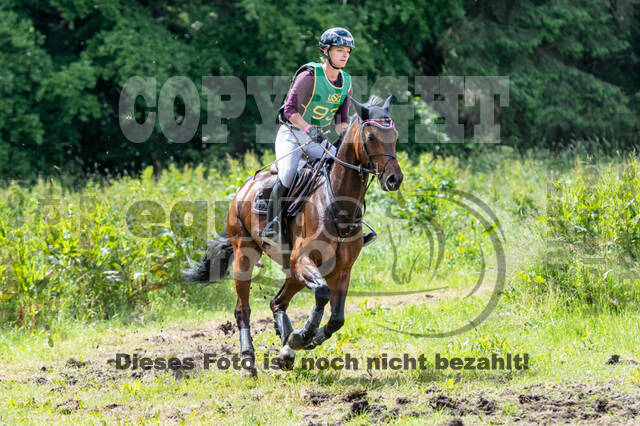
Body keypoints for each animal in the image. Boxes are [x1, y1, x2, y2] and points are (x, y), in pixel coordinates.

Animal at [182, 95, 403, 375]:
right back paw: (249, 359)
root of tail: (244, 188)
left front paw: (301, 340)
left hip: (293, 272)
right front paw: (301, 336)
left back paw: (285, 347)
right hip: (247, 255)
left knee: (277, 302)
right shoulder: (304, 260)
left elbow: (337, 319)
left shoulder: (341, 270)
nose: (394, 179)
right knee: (243, 309)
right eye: (372, 137)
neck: (337, 203)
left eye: (394, 135)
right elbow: (322, 294)